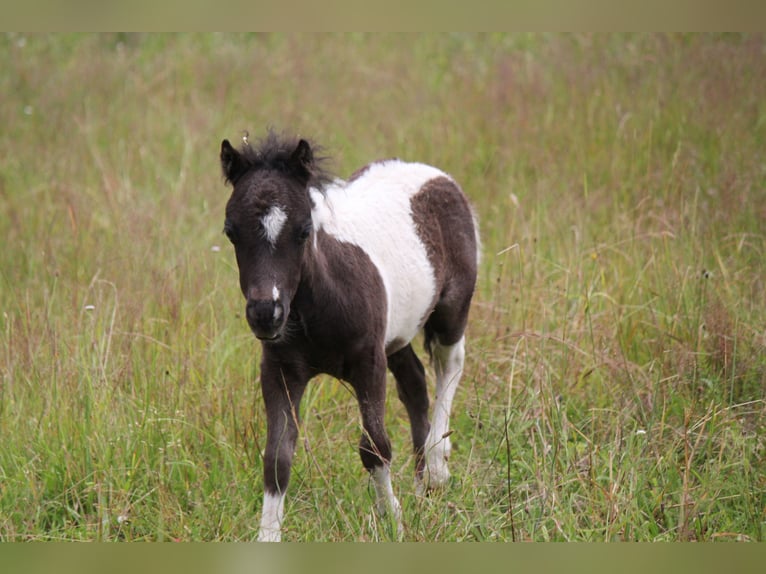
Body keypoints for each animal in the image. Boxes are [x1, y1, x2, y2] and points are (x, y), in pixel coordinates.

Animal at [219, 133, 476, 544]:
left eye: (303, 230)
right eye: (231, 231)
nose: (265, 314)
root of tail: (434, 175)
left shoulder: (367, 362)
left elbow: (374, 447)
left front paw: (393, 523)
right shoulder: (280, 369)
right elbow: (276, 458)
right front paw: (267, 538)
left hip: (451, 311)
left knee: (449, 364)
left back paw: (438, 465)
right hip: (397, 334)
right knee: (415, 383)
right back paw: (422, 486)